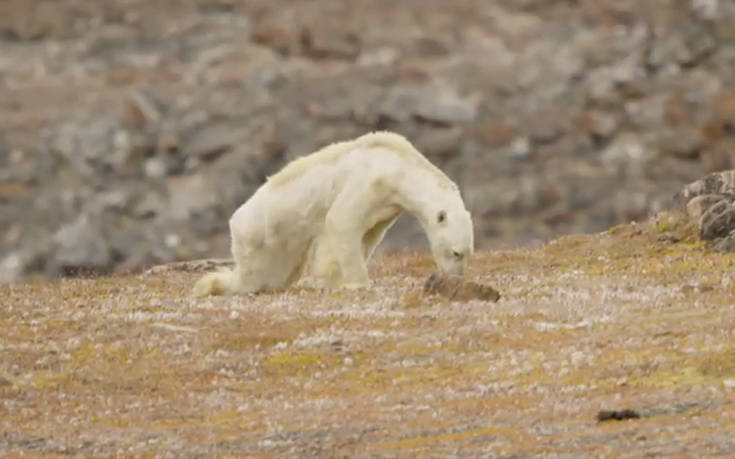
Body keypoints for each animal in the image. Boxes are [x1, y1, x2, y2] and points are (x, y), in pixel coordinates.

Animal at [193, 132, 474, 298]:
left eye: (467, 253)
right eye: (456, 253)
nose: (456, 279)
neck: (398, 164)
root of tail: (235, 221)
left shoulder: (386, 207)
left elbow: (366, 235)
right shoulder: (369, 182)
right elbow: (341, 221)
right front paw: (356, 282)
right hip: (261, 238)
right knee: (252, 278)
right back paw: (208, 286)